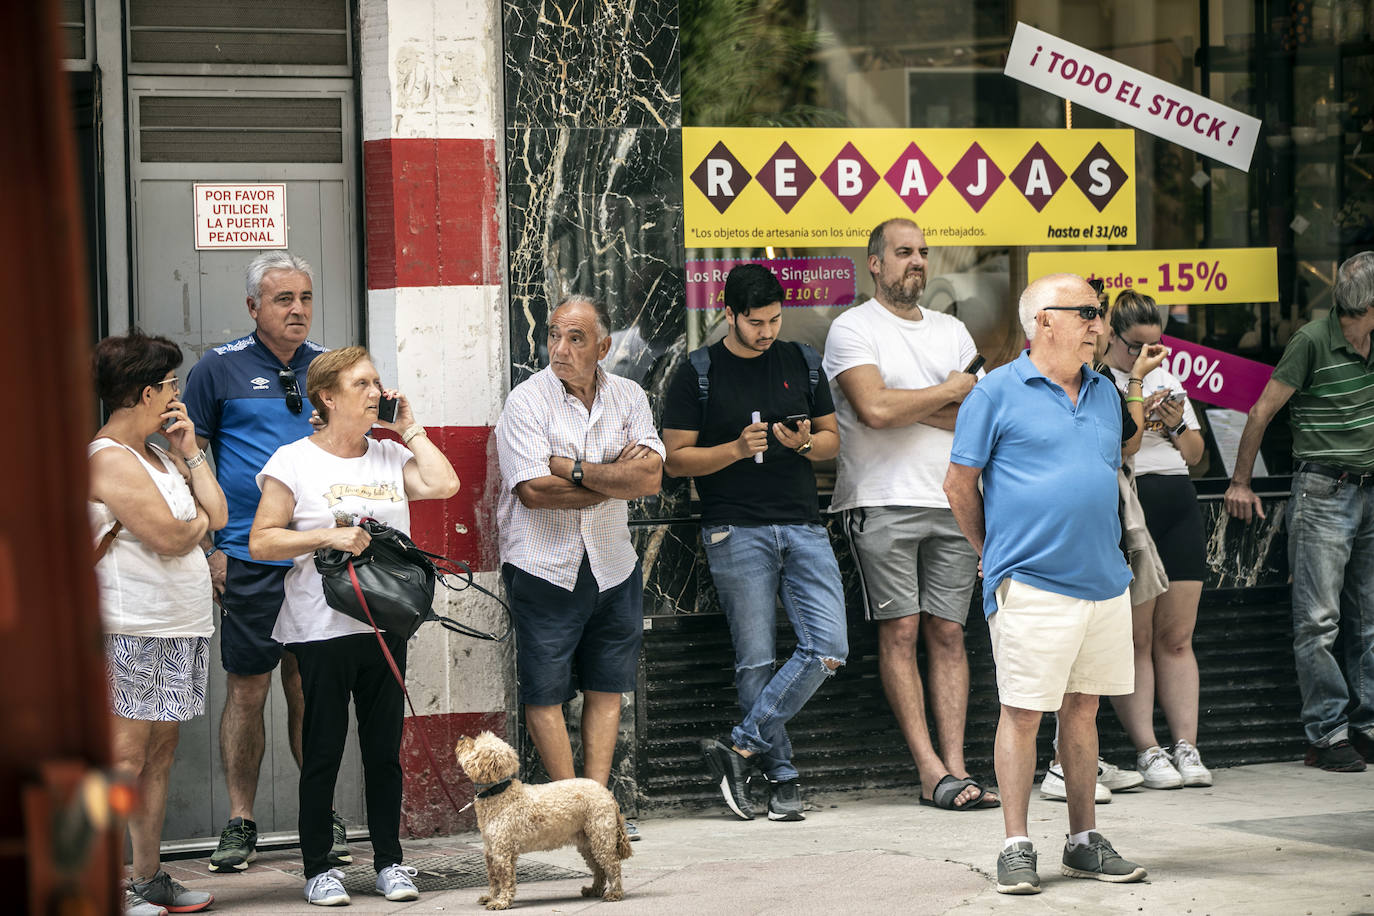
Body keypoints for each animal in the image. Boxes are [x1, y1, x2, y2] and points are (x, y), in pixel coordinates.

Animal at [461, 730, 632, 911]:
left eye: (474, 744)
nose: (461, 737)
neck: (499, 793)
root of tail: (607, 793)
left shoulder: (502, 851)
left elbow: (505, 878)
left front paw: (501, 902)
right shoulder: (490, 850)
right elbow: (493, 878)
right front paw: (491, 897)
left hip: (601, 838)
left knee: (613, 865)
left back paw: (615, 893)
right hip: (588, 844)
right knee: (599, 869)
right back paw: (594, 890)